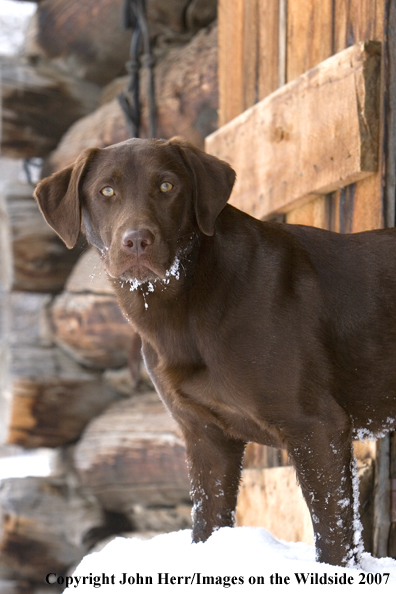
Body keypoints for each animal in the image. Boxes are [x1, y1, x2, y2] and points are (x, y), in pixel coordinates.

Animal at [34, 138, 396, 564]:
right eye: (106, 191)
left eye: (167, 186)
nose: (137, 240)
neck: (183, 310)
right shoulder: (206, 437)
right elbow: (206, 523)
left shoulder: (317, 426)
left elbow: (335, 536)